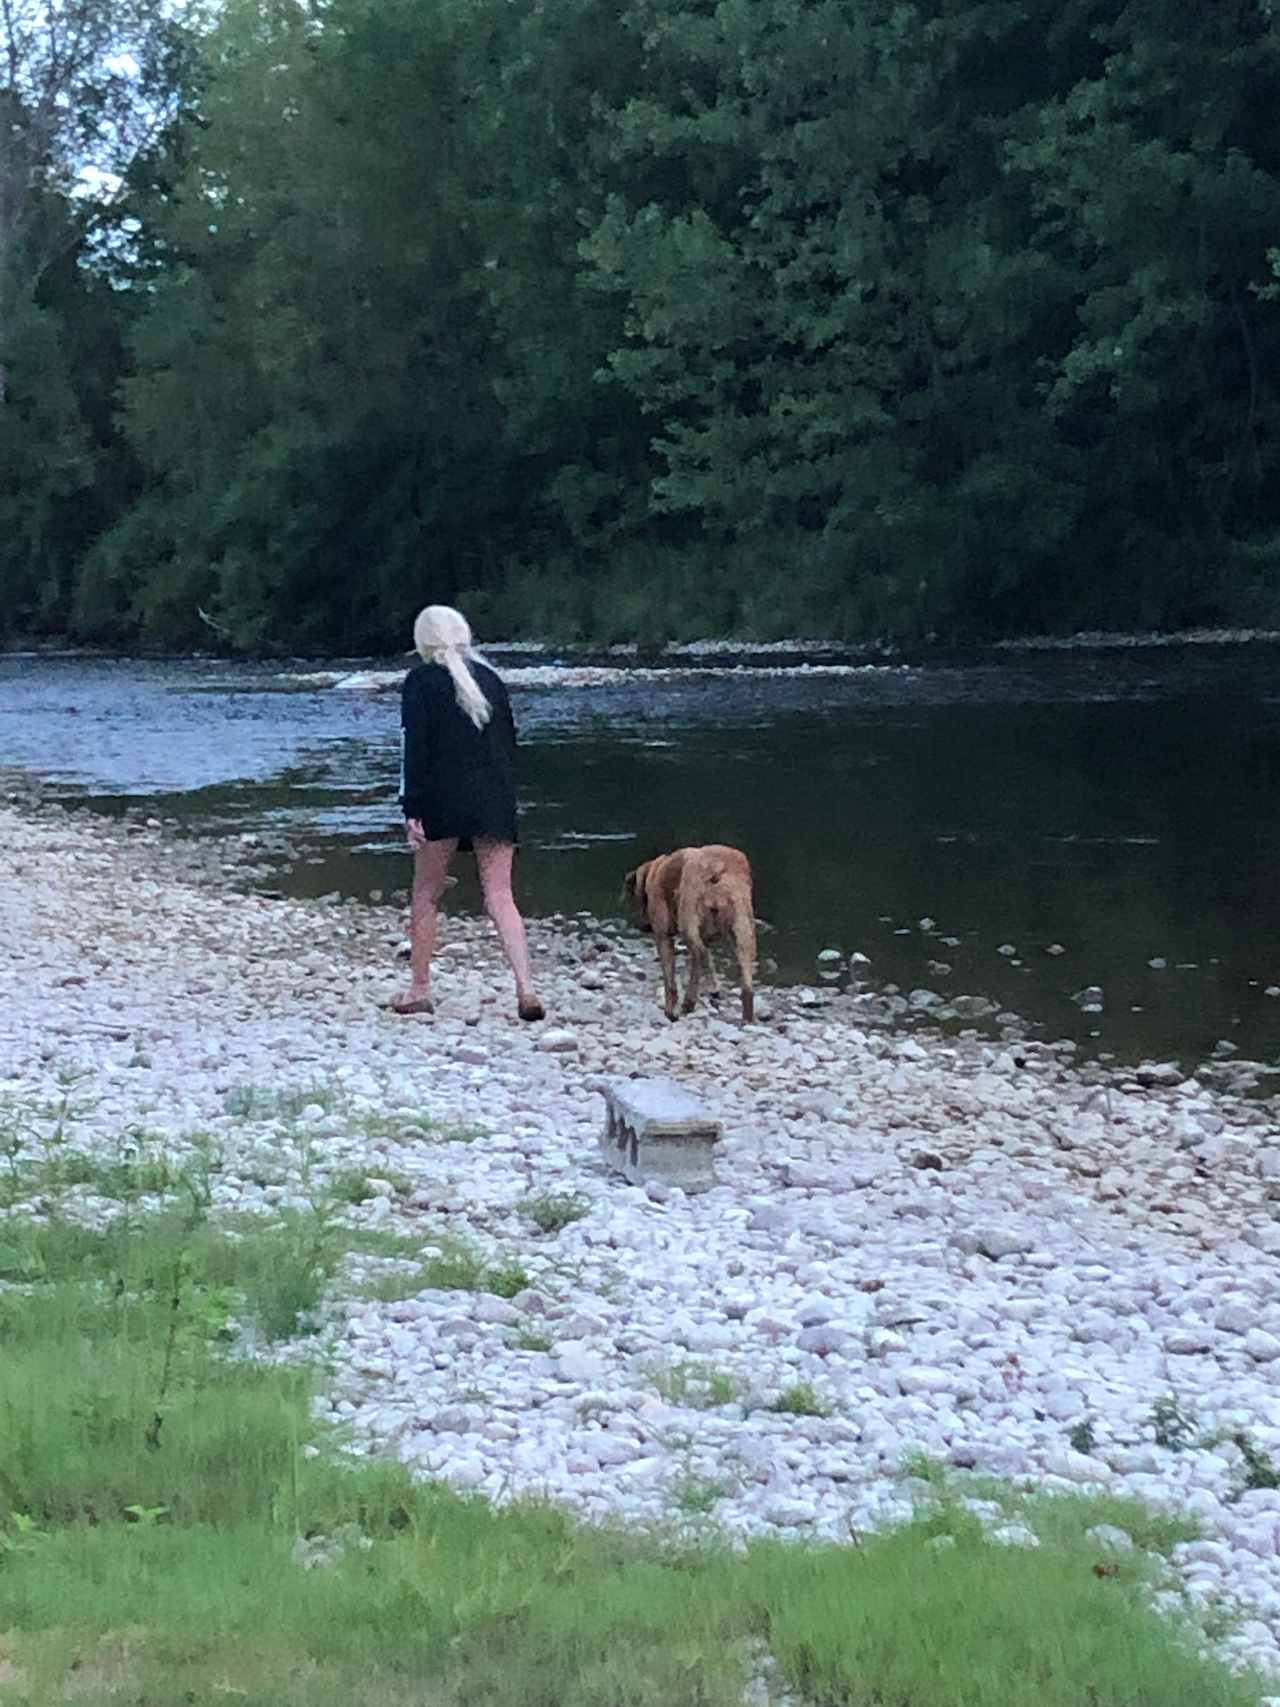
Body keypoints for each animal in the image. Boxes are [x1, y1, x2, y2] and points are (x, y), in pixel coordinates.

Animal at [624, 843, 757, 1017]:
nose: (640, 926)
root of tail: (717, 867)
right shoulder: (705, 938)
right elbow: (709, 962)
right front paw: (715, 990)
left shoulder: (663, 936)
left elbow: (670, 979)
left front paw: (669, 1009)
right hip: (743, 929)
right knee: (745, 975)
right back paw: (747, 1017)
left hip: (689, 920)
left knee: (698, 955)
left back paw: (688, 1002)